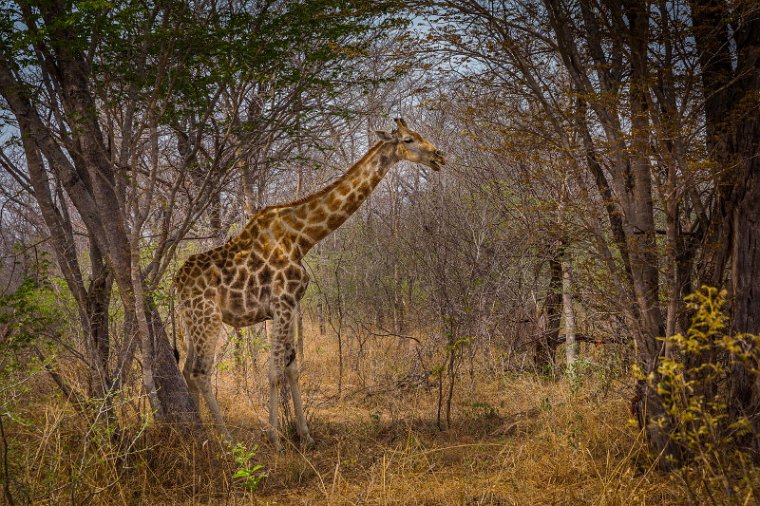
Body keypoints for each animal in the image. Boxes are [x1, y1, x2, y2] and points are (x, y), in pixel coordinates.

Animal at [174, 118, 446, 450]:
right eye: (408, 139)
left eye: (419, 134)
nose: (438, 156)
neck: (303, 237)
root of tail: (176, 283)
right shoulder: (281, 304)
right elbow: (274, 372)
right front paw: (276, 440)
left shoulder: (291, 305)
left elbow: (292, 368)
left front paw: (305, 435)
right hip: (208, 318)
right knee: (201, 371)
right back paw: (225, 440)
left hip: (191, 320)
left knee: (187, 370)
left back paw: (198, 434)